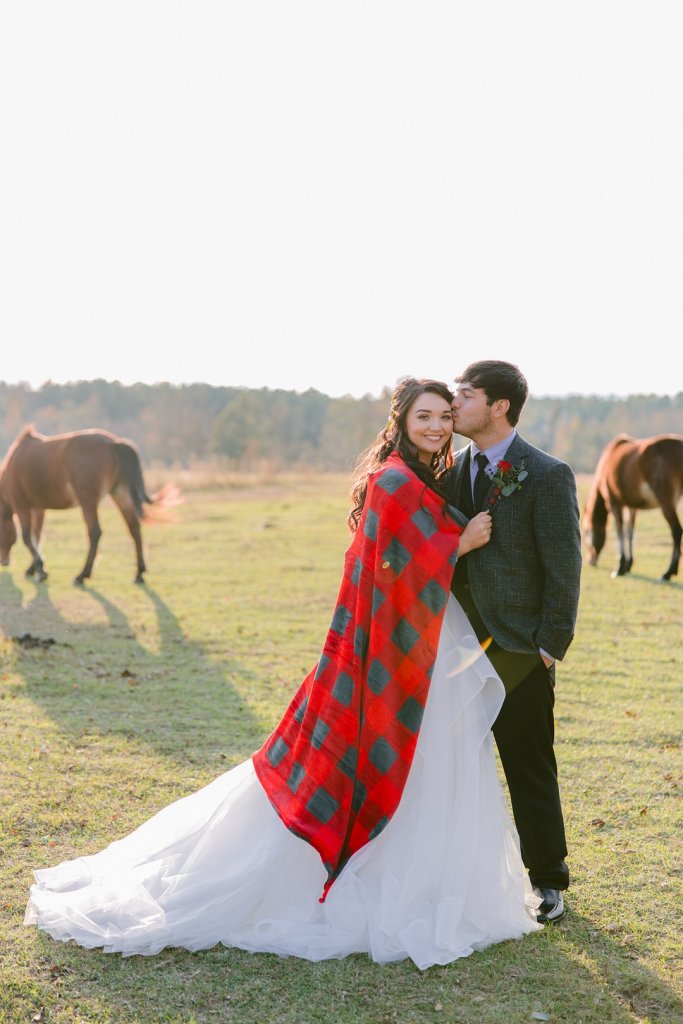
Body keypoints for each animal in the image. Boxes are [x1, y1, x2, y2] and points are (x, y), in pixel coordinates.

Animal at [1, 423, 176, 585]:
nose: (4, 562)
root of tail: (115, 443)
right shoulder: (38, 508)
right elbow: (36, 536)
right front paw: (34, 568)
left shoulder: (22, 505)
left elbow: (27, 537)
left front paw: (40, 569)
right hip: (120, 495)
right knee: (134, 528)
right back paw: (139, 573)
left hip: (88, 502)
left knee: (95, 533)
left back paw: (82, 575)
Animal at [585, 432, 679, 581]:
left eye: (586, 531)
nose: (590, 560)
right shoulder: (632, 506)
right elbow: (630, 532)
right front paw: (628, 565)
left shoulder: (614, 502)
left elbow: (620, 531)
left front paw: (620, 567)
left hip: (666, 501)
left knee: (676, 531)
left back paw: (668, 572)